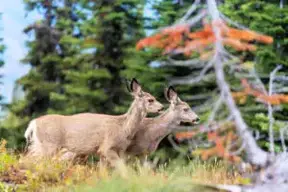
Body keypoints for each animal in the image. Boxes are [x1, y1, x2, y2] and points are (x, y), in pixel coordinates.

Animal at [24, 78, 164, 170]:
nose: (162, 107)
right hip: (49, 145)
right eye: (150, 99)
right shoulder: (107, 147)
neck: (123, 127)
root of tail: (33, 123)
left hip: (39, 144)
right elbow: (122, 169)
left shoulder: (106, 152)